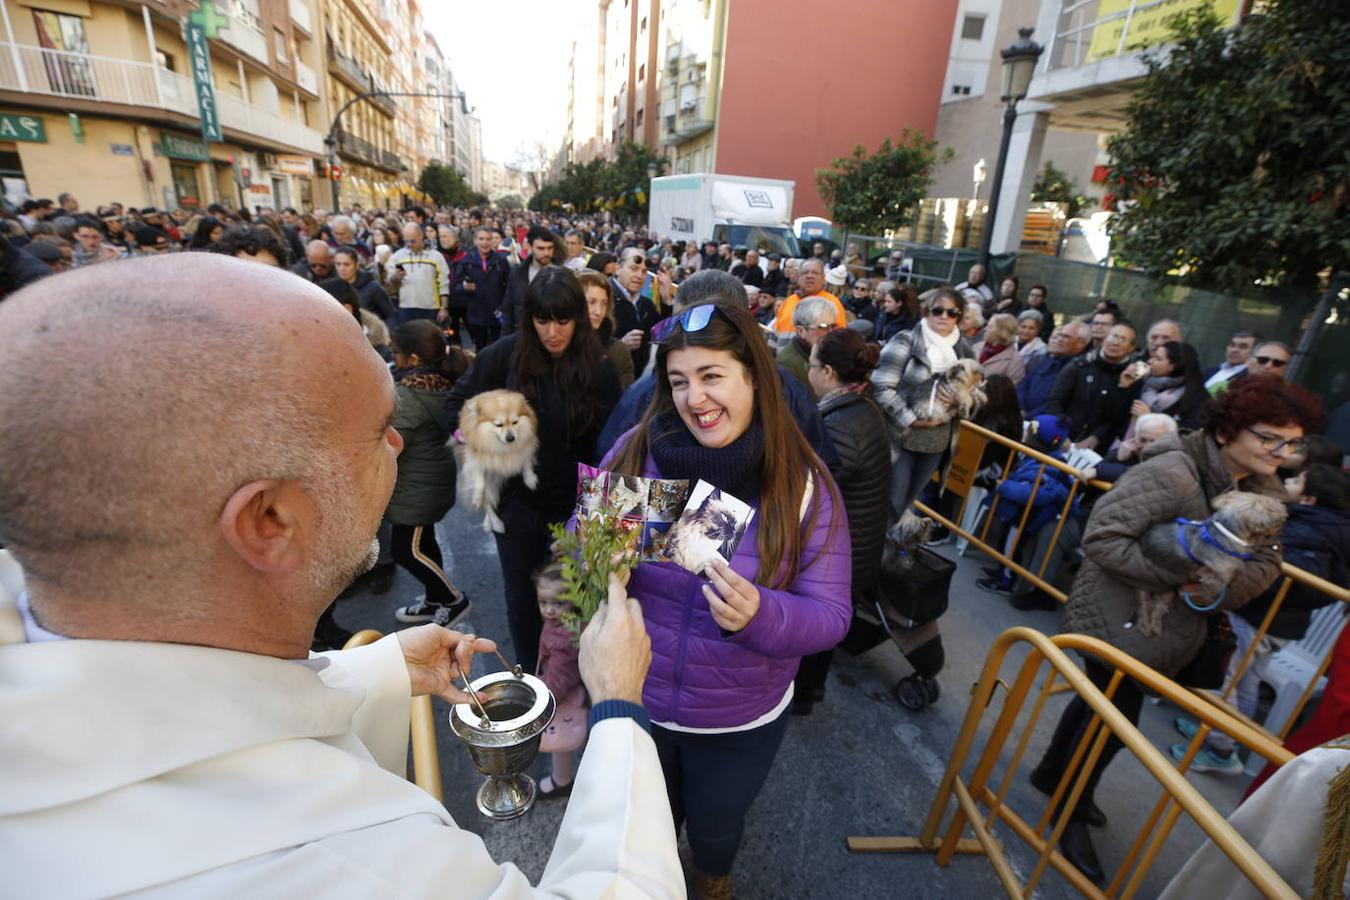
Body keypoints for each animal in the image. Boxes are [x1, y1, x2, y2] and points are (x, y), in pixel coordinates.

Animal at [453, 388, 537, 531]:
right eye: (498, 425)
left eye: (515, 422)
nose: (510, 438)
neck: (501, 446)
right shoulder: (474, 460)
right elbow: (480, 483)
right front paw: (477, 498)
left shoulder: (525, 447)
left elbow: (526, 464)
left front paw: (529, 479)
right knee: (488, 504)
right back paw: (495, 523)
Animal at [1134, 493, 1279, 634]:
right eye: (1267, 504)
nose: (1281, 505)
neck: (1225, 532)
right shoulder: (1218, 572)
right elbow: (1217, 585)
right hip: (1145, 587)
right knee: (1144, 605)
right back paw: (1145, 627)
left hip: (1166, 594)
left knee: (1158, 608)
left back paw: (1155, 628)